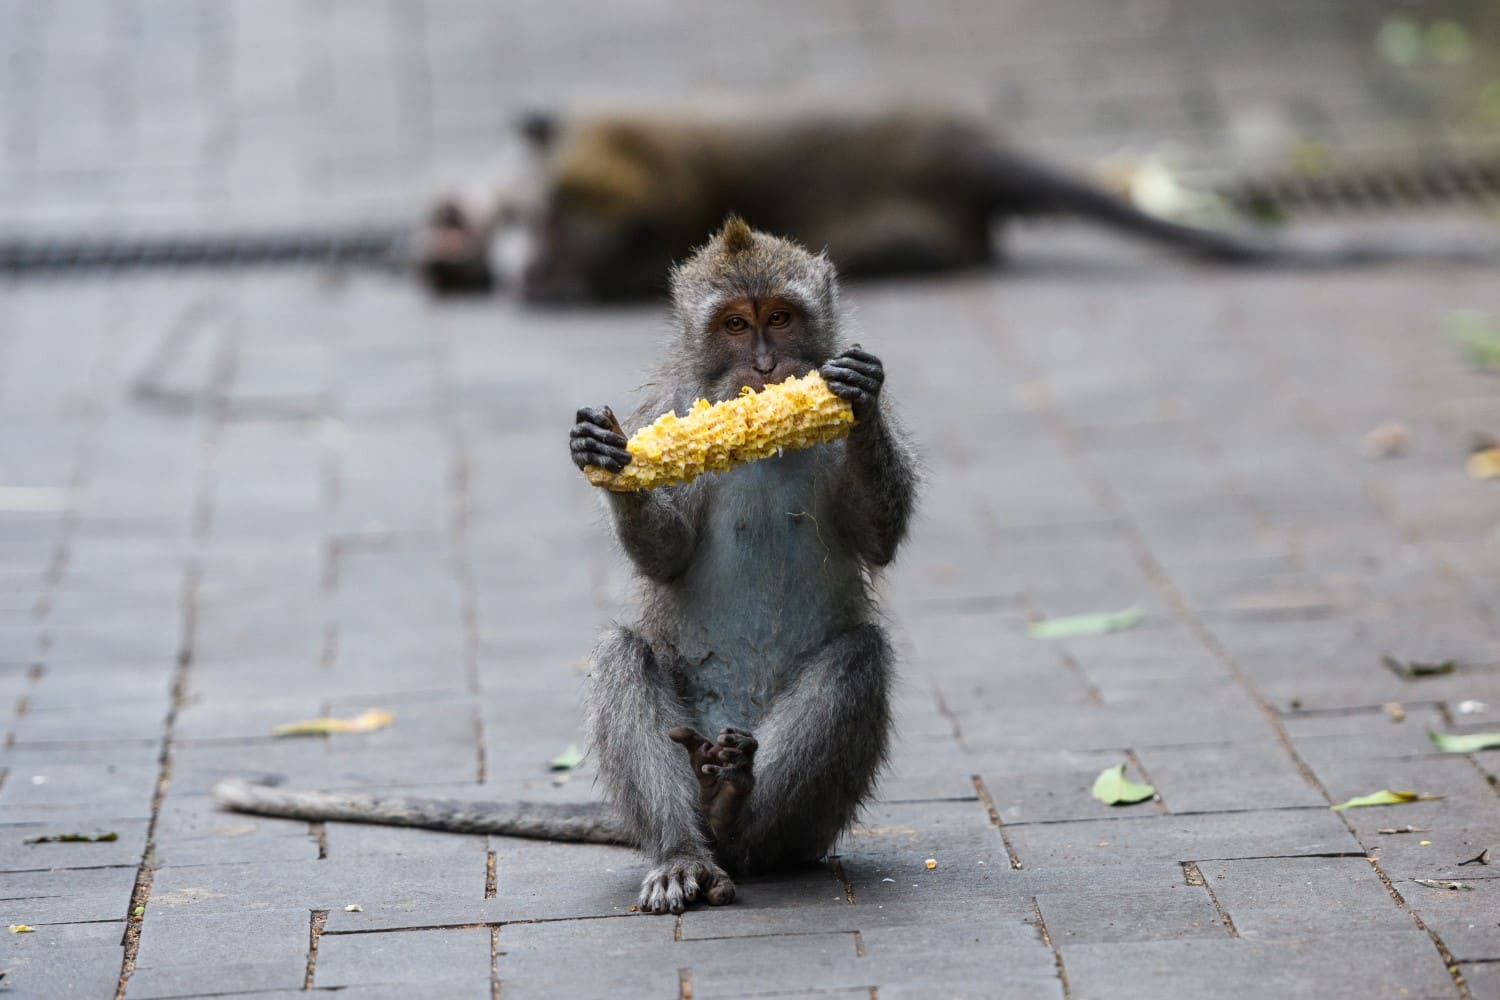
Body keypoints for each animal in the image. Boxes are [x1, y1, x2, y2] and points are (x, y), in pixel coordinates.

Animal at [216, 217, 918, 915]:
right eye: (736, 327)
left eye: (781, 317)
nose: (768, 365)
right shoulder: (666, 408)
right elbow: (667, 553)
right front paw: (612, 465)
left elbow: (877, 537)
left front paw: (859, 398)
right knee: (622, 653)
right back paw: (689, 842)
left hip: (806, 812)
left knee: (856, 660)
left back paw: (740, 819)